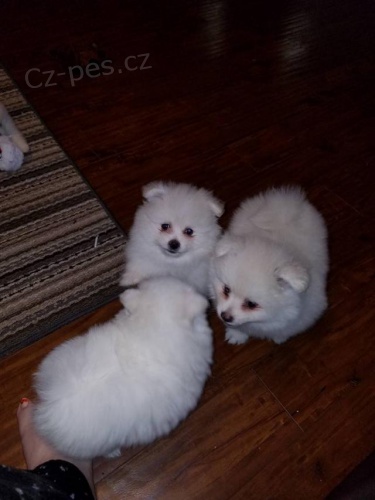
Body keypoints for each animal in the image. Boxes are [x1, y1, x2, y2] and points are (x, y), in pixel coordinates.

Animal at [210, 186, 330, 346]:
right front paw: (236, 334)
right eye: (226, 290)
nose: (225, 316)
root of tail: (285, 203)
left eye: (251, 304)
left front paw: (280, 337)